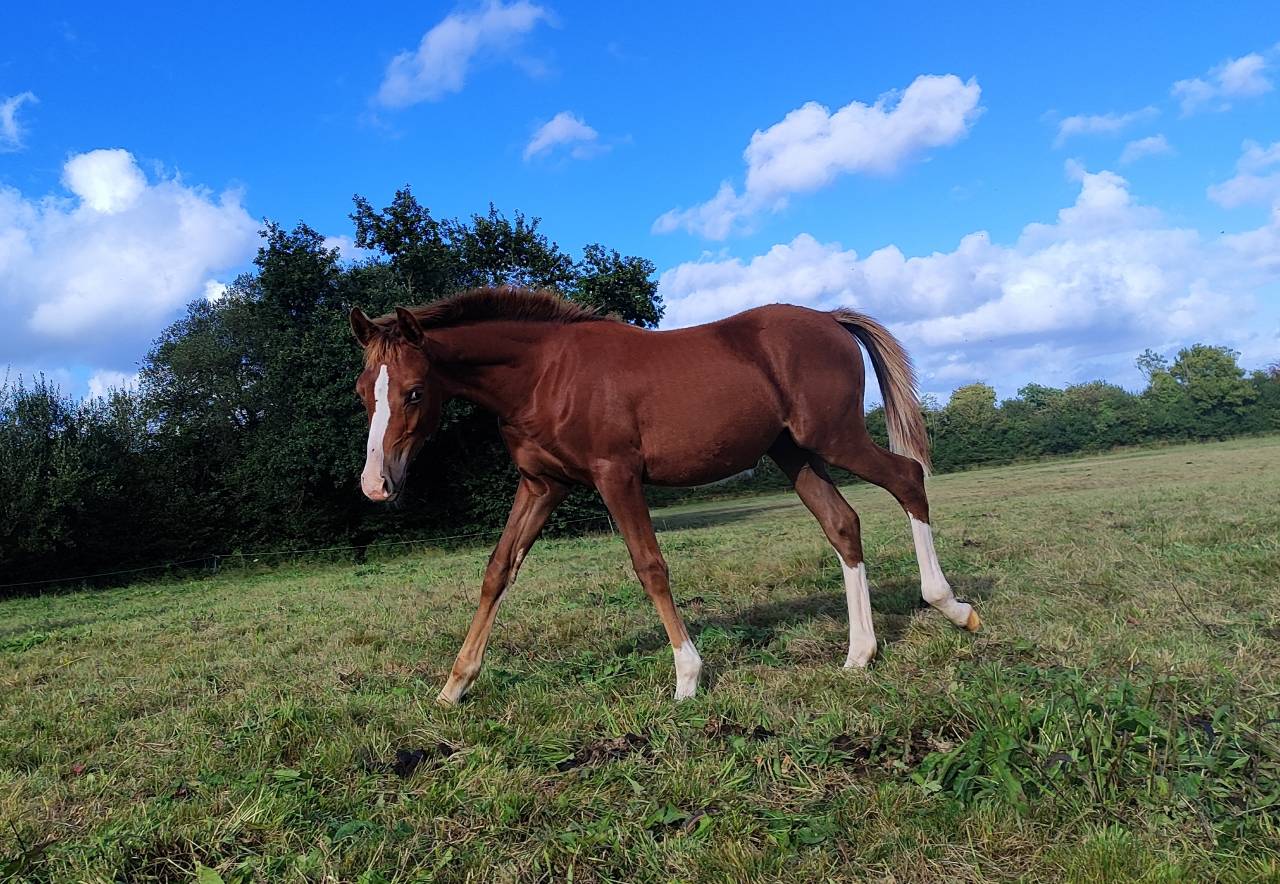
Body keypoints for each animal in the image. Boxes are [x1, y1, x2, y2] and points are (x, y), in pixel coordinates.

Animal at [349, 287, 980, 704]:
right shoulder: (542, 485)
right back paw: (859, 654)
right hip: (795, 453)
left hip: (835, 437)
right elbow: (499, 569)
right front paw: (455, 684)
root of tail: (828, 318)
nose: (376, 485)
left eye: (414, 391)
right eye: (362, 391)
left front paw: (687, 676)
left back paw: (950, 606)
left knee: (907, 479)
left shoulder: (616, 476)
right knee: (843, 524)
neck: (545, 374)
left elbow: (649, 566)